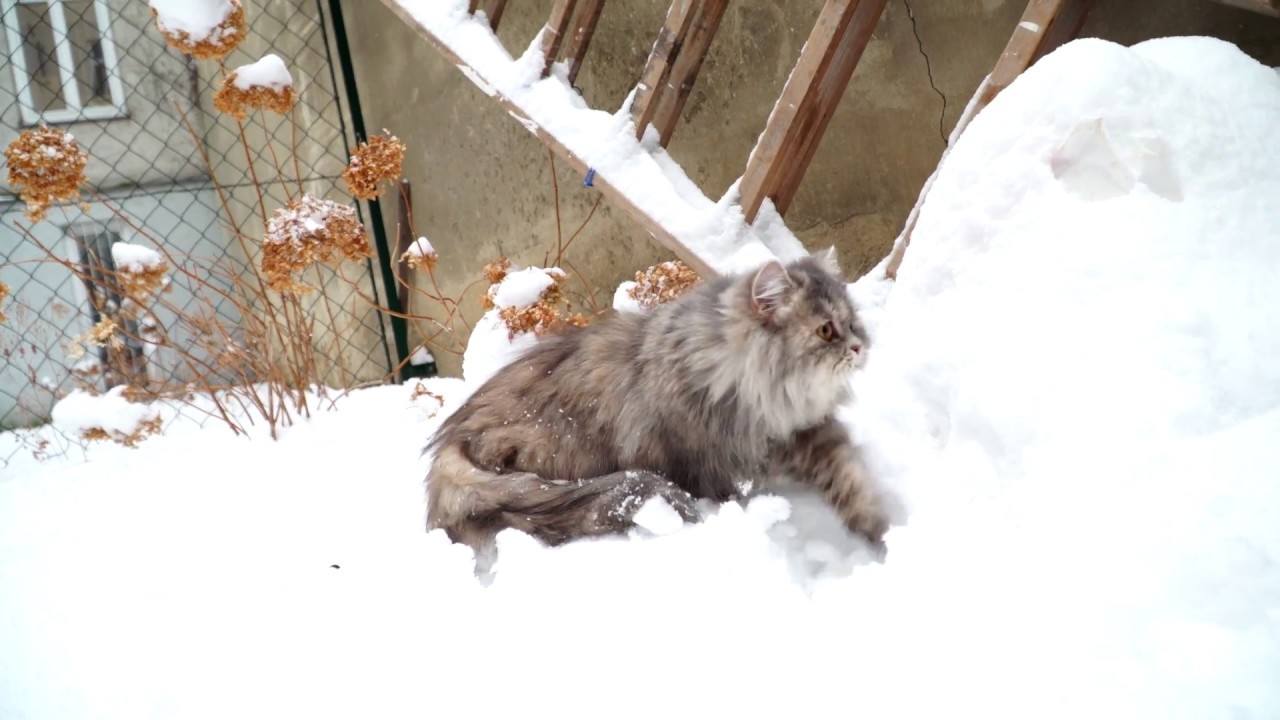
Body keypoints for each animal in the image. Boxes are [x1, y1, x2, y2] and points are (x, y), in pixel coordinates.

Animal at [424, 249, 885, 550]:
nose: (860, 346)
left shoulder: (804, 433)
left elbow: (850, 478)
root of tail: (448, 446)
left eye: (853, 322)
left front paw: (877, 530)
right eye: (826, 330)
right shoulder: (714, 461)